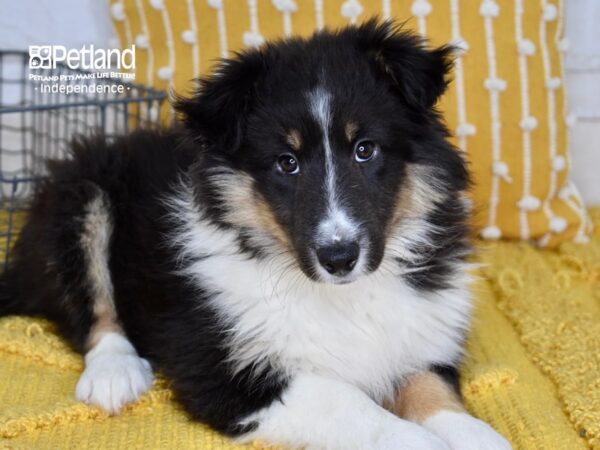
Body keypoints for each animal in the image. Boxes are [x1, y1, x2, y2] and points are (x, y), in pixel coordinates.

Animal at [2, 20, 512, 450]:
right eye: (287, 162)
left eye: (365, 149)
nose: (339, 257)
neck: (341, 295)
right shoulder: (228, 374)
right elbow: (351, 405)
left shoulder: (421, 340)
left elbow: (435, 393)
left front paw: (481, 438)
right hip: (81, 194)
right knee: (91, 305)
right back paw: (116, 373)